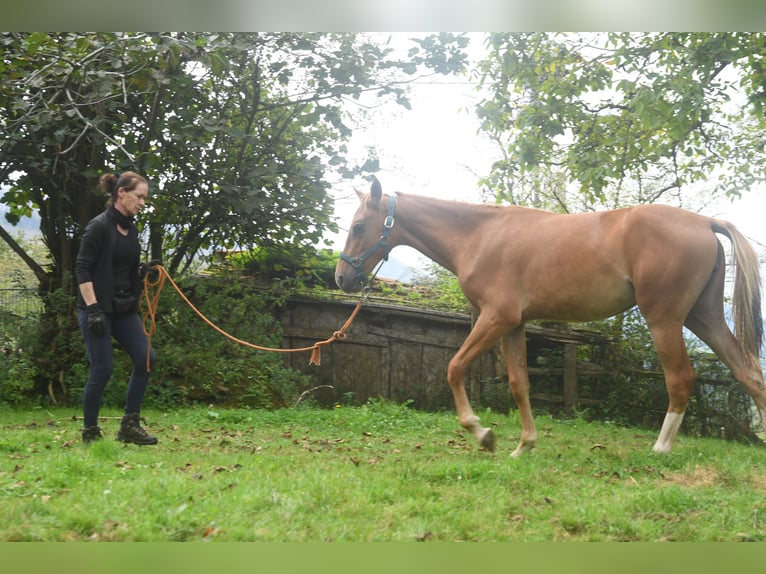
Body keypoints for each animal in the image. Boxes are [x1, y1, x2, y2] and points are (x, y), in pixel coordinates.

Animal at [335, 178, 766, 456]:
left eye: (358, 226)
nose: (341, 278)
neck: (481, 235)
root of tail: (704, 222)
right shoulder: (515, 325)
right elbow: (519, 384)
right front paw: (524, 446)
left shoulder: (495, 319)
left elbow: (455, 368)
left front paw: (483, 434)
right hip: (703, 317)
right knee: (749, 373)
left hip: (665, 319)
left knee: (681, 379)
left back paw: (661, 448)